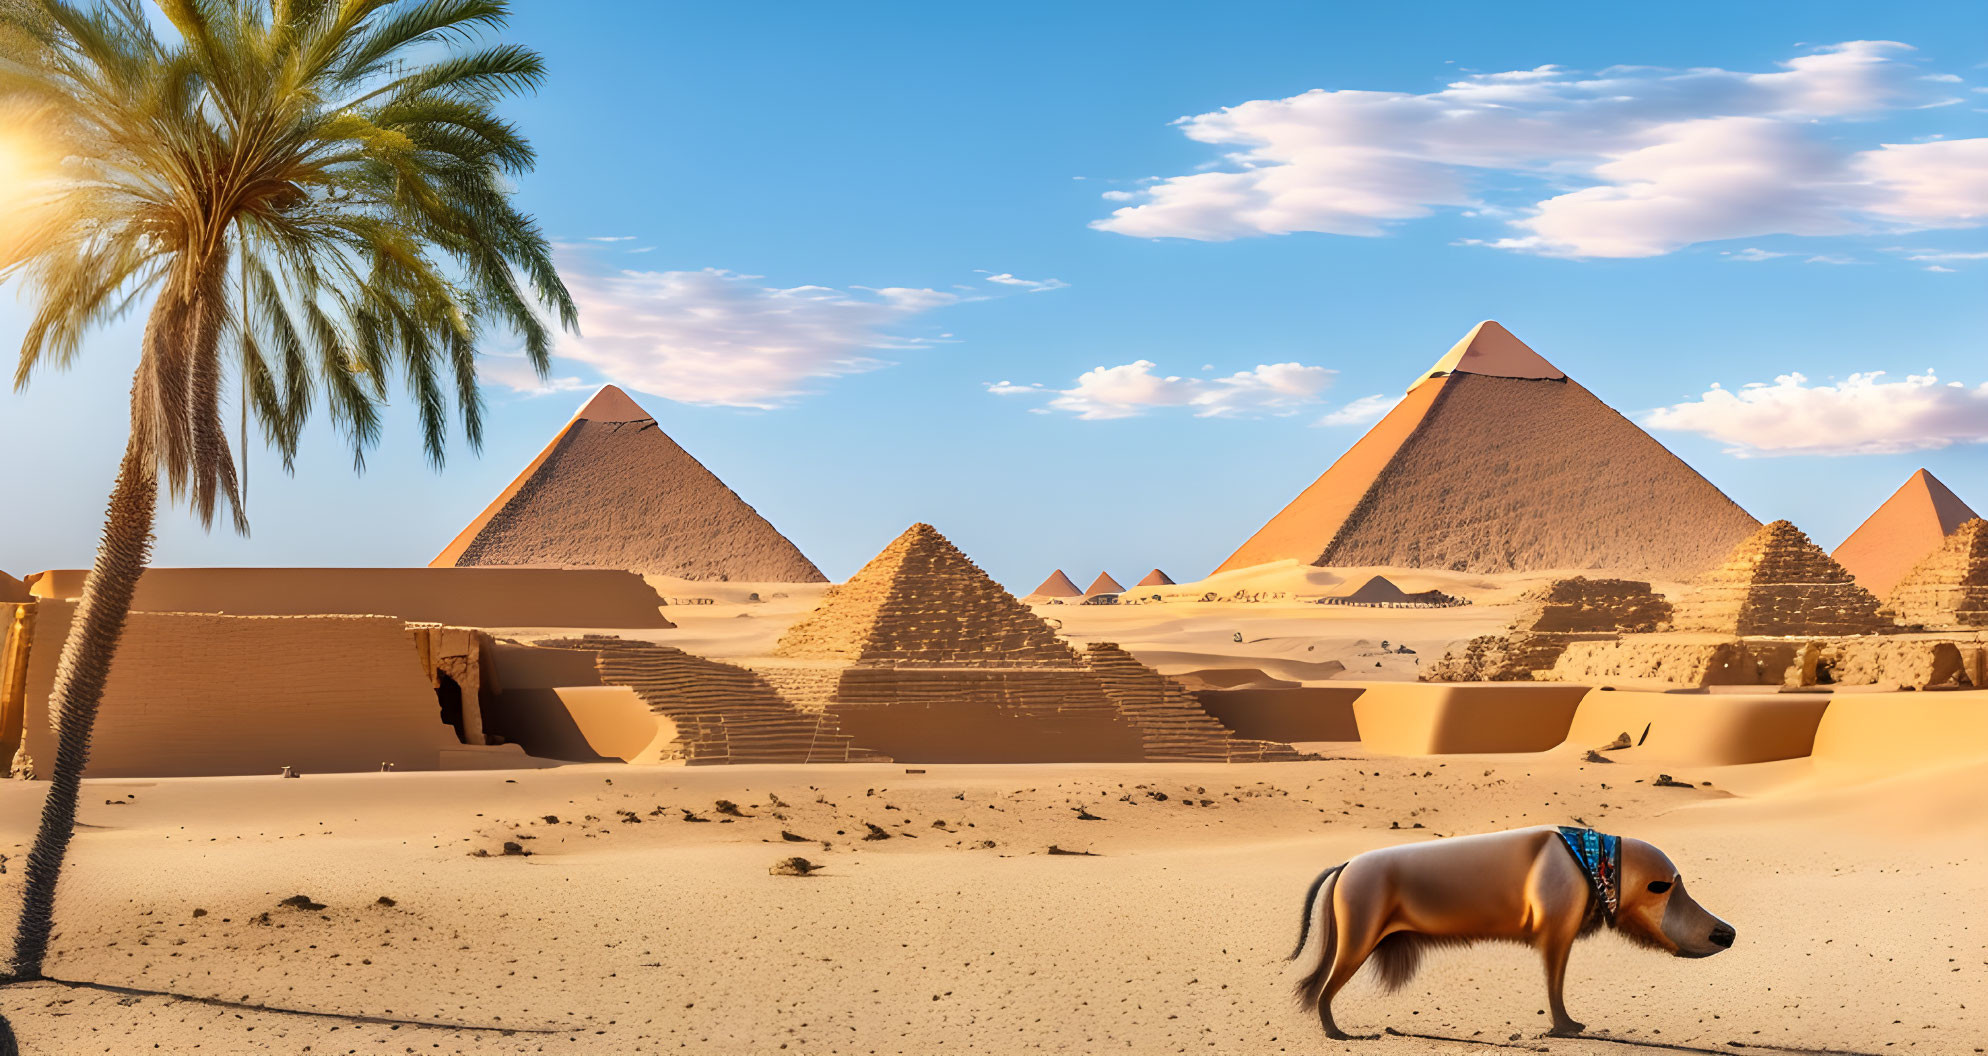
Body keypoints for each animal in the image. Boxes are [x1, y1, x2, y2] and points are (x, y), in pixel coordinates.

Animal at [1288, 827, 1741, 1042]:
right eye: (1660, 886)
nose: (1726, 934)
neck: (1592, 862)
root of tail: (1345, 865)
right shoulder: (1557, 934)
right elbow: (1555, 985)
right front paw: (1566, 1028)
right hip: (1358, 936)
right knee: (1325, 987)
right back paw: (1336, 1032)